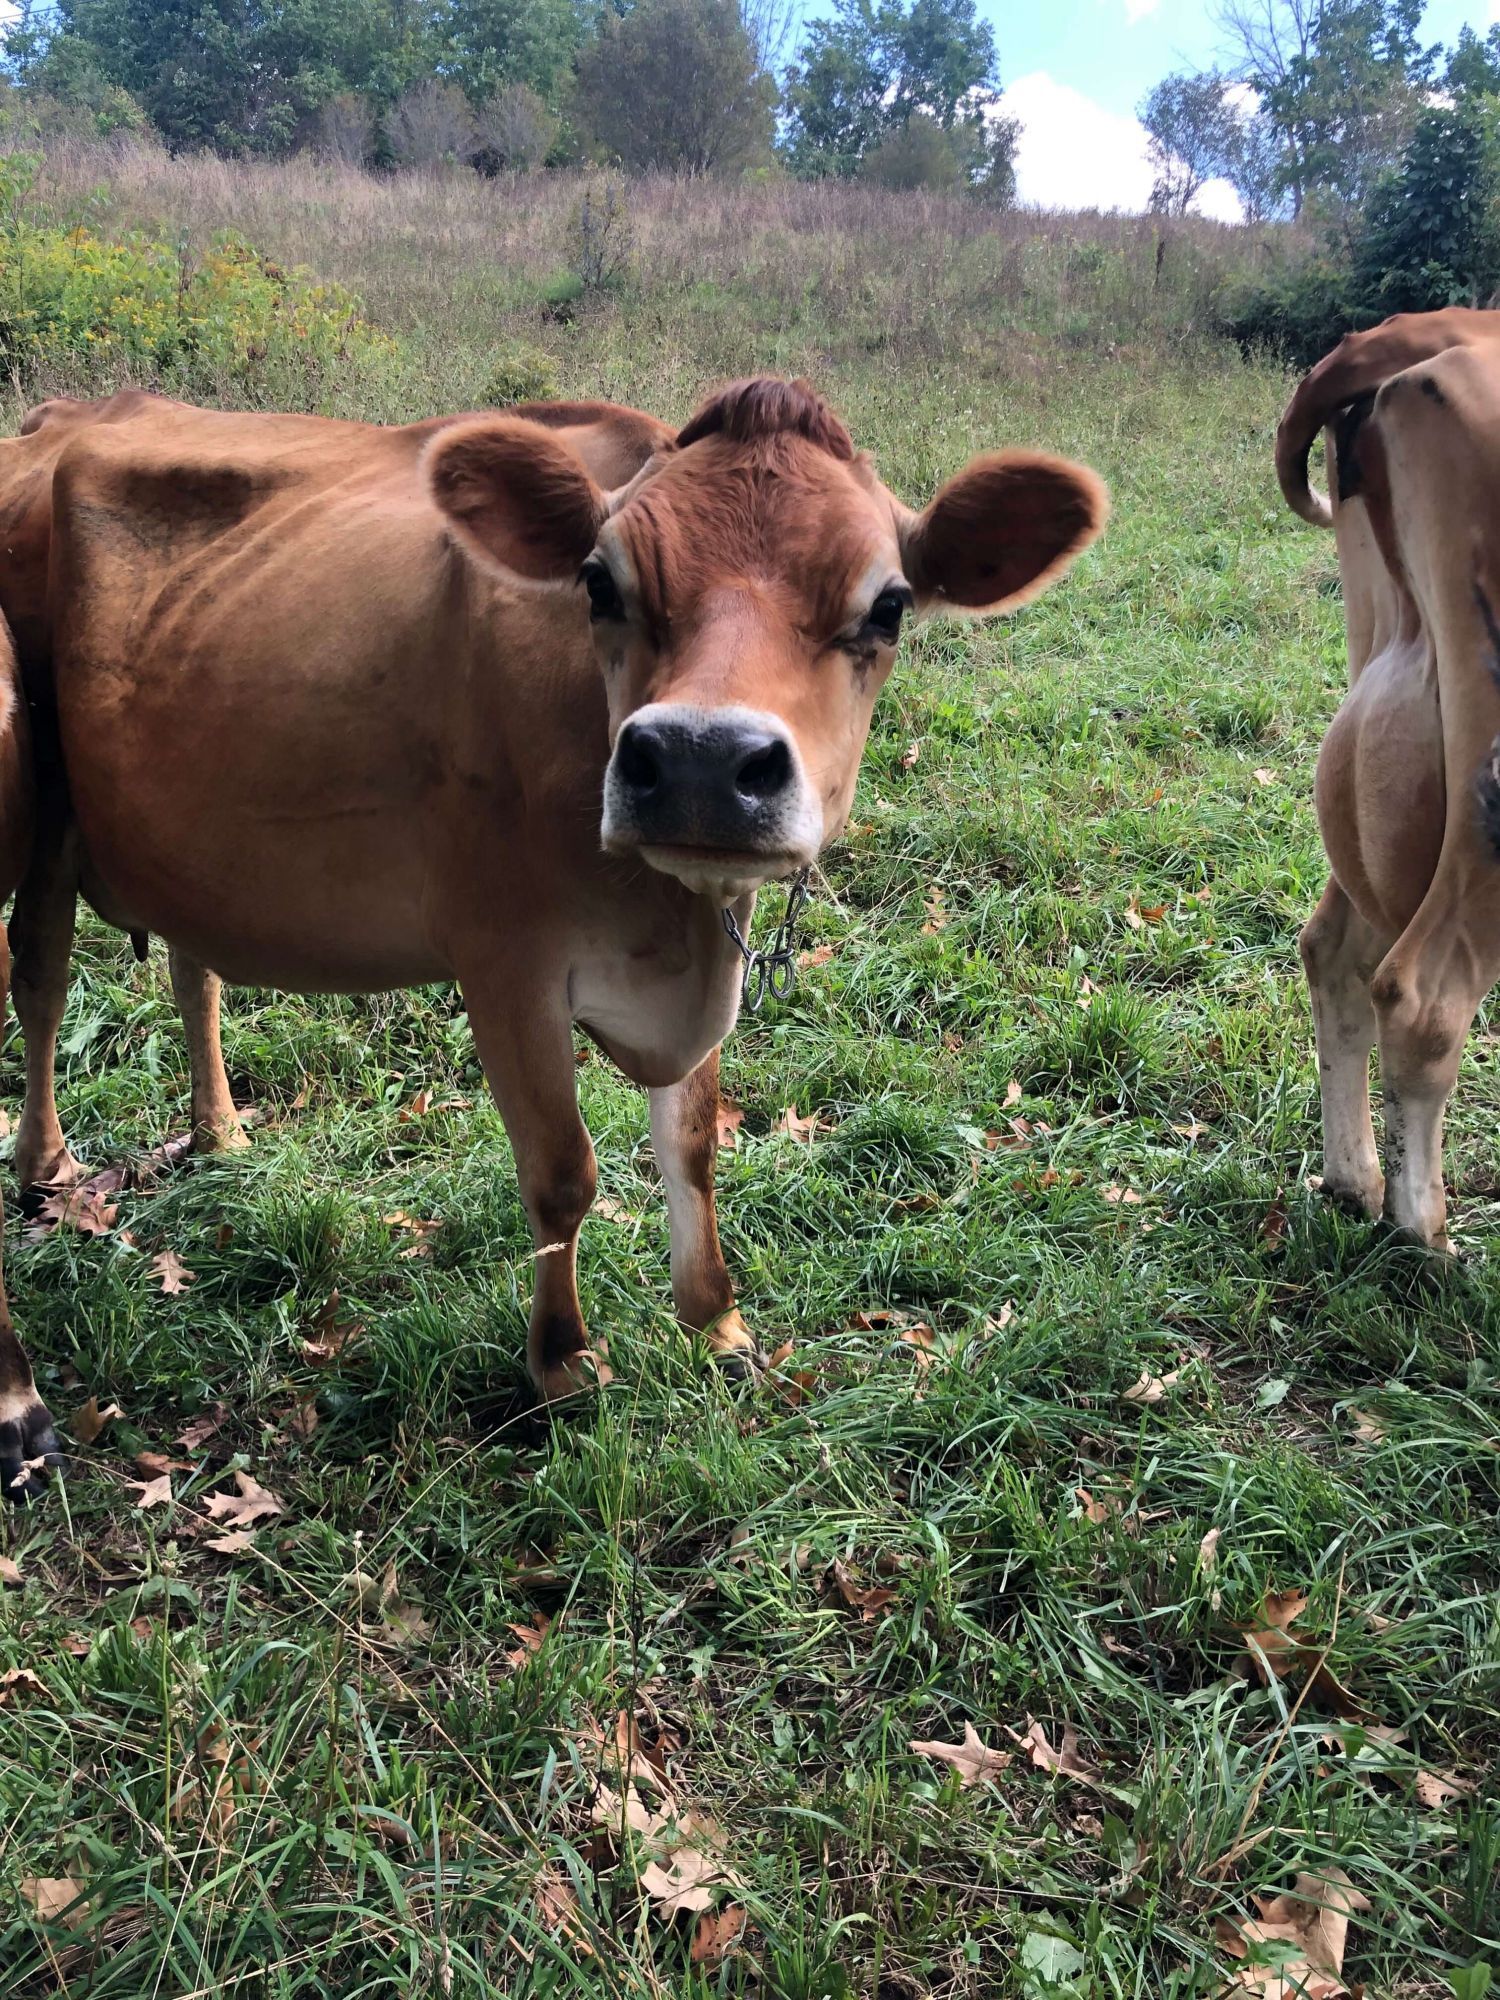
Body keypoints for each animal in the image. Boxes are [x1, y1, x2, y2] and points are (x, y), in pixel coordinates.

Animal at [0, 378, 1104, 1504]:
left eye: (888, 606)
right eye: (599, 583)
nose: (700, 758)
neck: (671, 930)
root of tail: (65, 414)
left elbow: (693, 1144)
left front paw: (718, 1324)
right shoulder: (504, 957)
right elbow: (563, 1169)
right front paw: (563, 1363)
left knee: (190, 966)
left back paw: (217, 1130)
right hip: (39, 820)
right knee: (39, 977)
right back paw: (36, 1229)